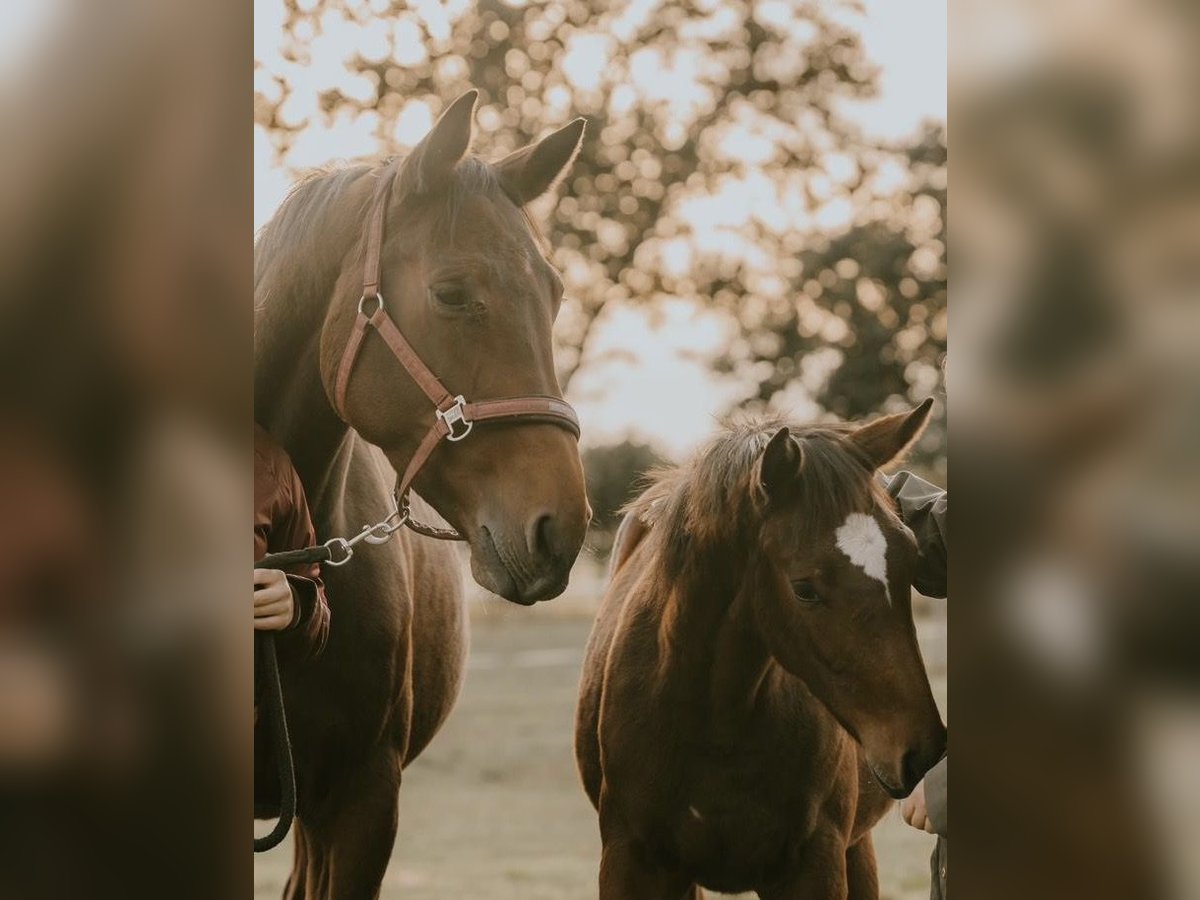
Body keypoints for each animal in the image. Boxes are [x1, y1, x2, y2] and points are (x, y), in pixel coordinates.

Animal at [576, 403, 940, 900]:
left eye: (911, 557)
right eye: (804, 588)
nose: (921, 748)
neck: (716, 722)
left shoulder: (814, 865)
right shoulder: (631, 864)